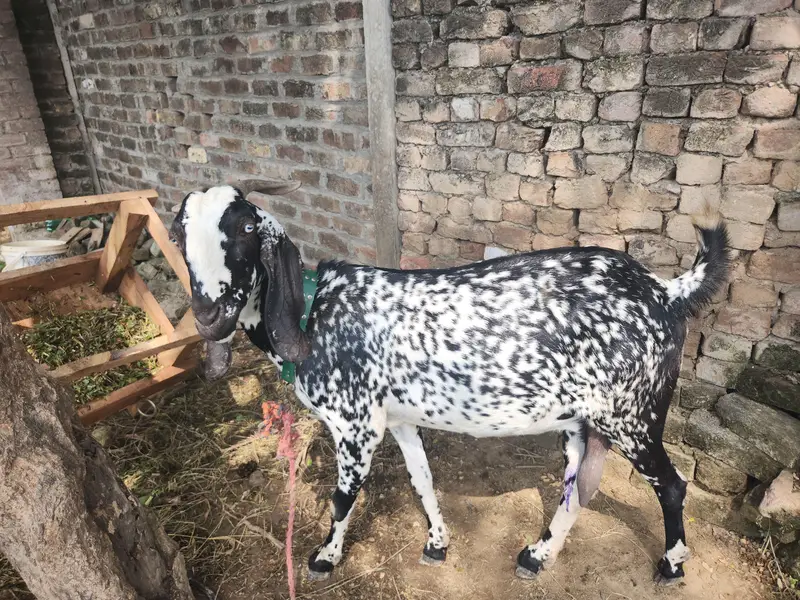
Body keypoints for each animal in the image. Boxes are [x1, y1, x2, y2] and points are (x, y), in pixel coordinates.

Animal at [169, 181, 729, 585]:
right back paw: (537, 555)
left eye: (246, 225)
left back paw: (671, 565)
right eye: (178, 234)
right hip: (583, 421)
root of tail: (664, 290)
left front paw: (326, 557)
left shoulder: (356, 427)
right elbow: (422, 479)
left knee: (671, 486)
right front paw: (437, 542)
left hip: (631, 415)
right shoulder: (398, 420)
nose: (209, 315)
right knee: (578, 486)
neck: (313, 312)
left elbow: (342, 499)